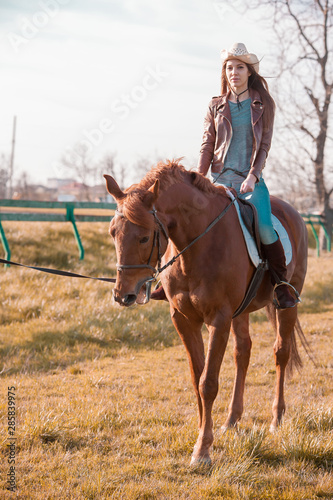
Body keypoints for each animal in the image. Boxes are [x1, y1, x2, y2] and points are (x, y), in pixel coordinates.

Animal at [104, 159, 306, 464]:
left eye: (144, 237)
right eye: (113, 233)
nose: (123, 295)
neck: (198, 245)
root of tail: (293, 212)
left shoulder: (219, 320)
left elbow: (208, 383)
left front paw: (202, 451)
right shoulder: (184, 320)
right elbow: (196, 379)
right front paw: (204, 435)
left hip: (287, 301)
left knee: (281, 352)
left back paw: (276, 419)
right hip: (241, 312)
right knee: (242, 352)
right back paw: (232, 420)